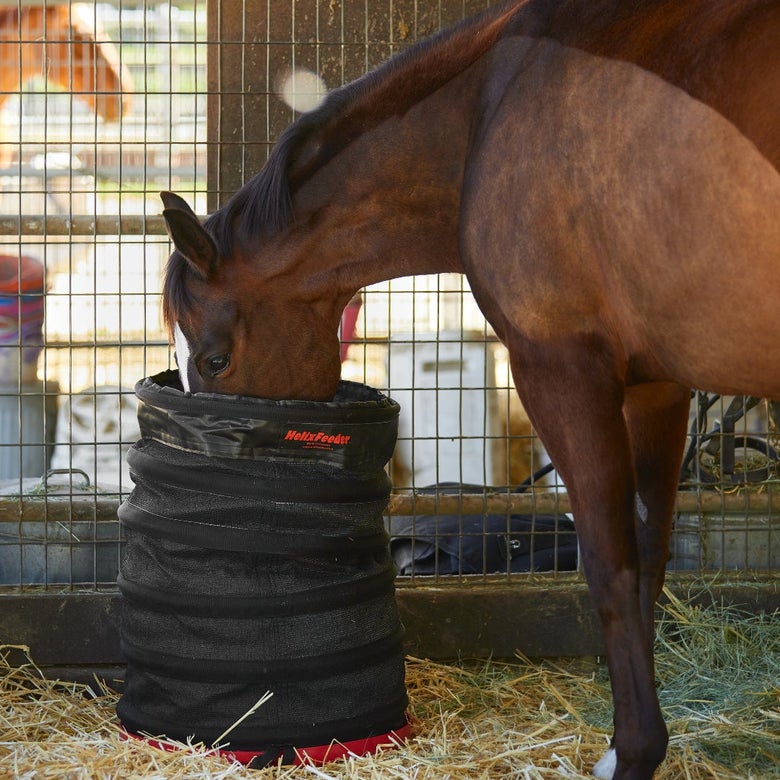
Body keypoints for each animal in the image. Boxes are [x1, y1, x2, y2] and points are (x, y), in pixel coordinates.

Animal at [159, 1, 780, 778]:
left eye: (214, 360)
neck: (485, 113)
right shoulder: (657, 386)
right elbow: (648, 557)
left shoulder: (559, 371)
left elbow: (610, 568)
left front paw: (632, 752)